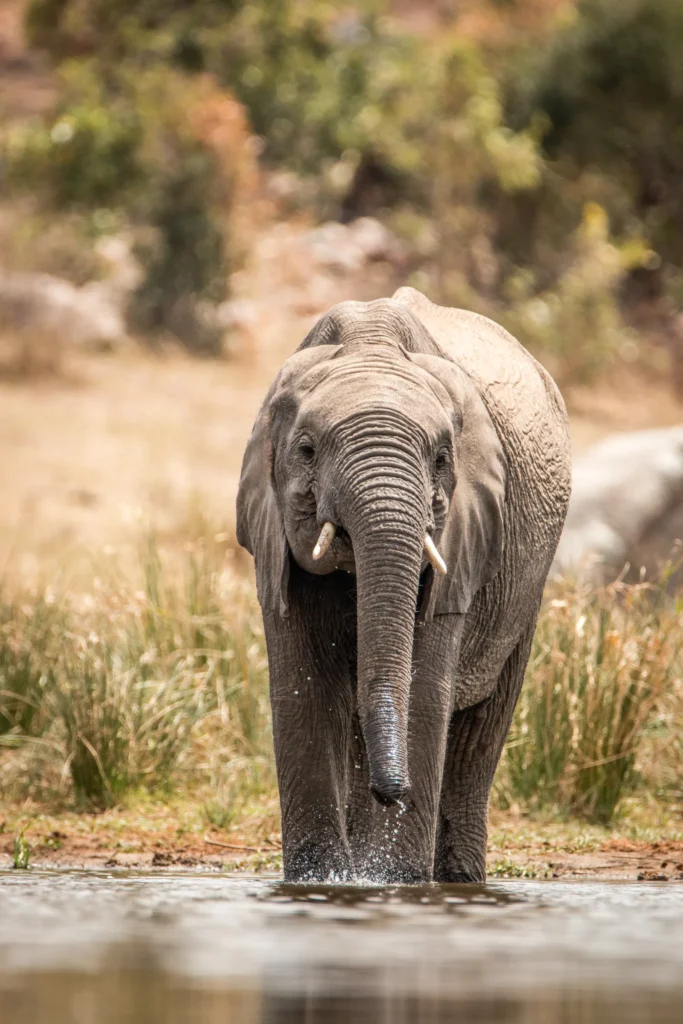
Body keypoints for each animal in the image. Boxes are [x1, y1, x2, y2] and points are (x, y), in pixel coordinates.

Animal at [236, 287, 571, 884]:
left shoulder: (464, 531)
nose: (393, 793)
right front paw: (322, 880)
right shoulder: (272, 535)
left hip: (529, 583)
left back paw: (458, 877)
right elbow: (303, 693)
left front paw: (392, 881)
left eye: (441, 458)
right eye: (306, 450)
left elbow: (424, 690)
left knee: (480, 730)